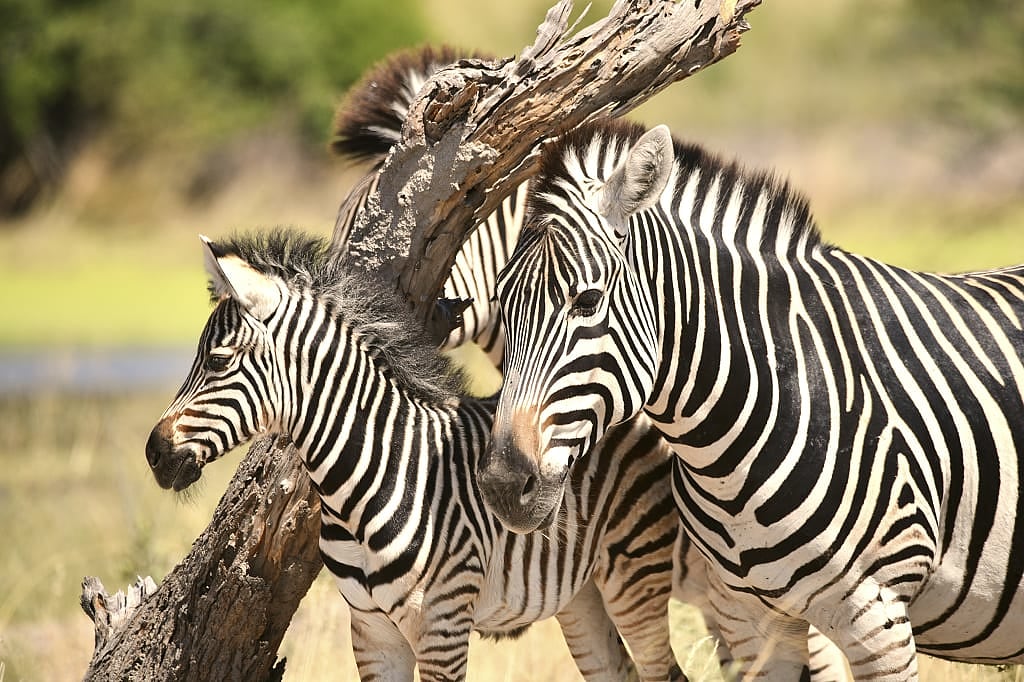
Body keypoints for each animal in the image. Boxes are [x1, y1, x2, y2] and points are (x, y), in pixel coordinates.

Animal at [144, 229, 685, 681]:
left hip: (635, 572)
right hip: (580, 593)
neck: (368, 481)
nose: (153, 453)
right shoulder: (370, 632)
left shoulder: (442, 625)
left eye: (218, 361)